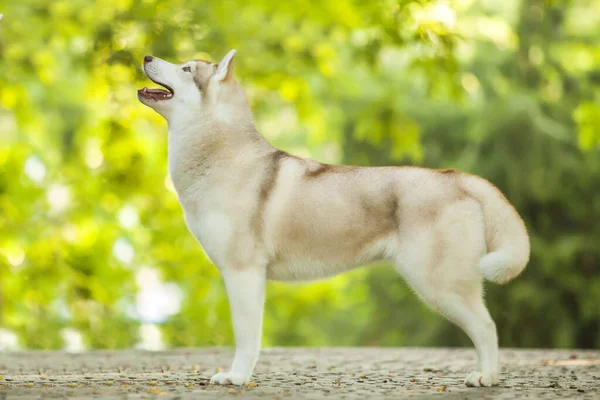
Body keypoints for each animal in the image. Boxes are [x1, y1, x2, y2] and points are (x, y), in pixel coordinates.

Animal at [137, 50, 528, 388]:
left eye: (187, 69)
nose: (146, 55)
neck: (220, 154)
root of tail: (458, 177)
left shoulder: (243, 272)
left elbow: (246, 335)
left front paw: (236, 377)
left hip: (438, 282)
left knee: (487, 327)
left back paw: (487, 377)